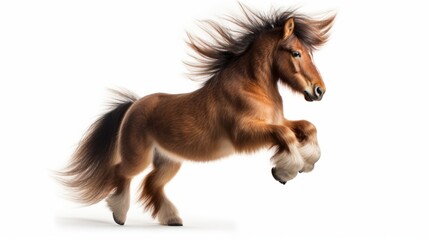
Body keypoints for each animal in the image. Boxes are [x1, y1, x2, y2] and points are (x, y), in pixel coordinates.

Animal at [60, 4, 334, 226]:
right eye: (296, 53)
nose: (319, 91)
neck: (252, 86)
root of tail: (133, 105)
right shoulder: (244, 134)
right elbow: (286, 135)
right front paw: (284, 173)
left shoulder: (274, 121)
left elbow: (307, 127)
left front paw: (305, 164)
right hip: (138, 157)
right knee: (121, 172)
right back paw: (119, 215)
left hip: (169, 160)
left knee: (151, 184)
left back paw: (172, 219)